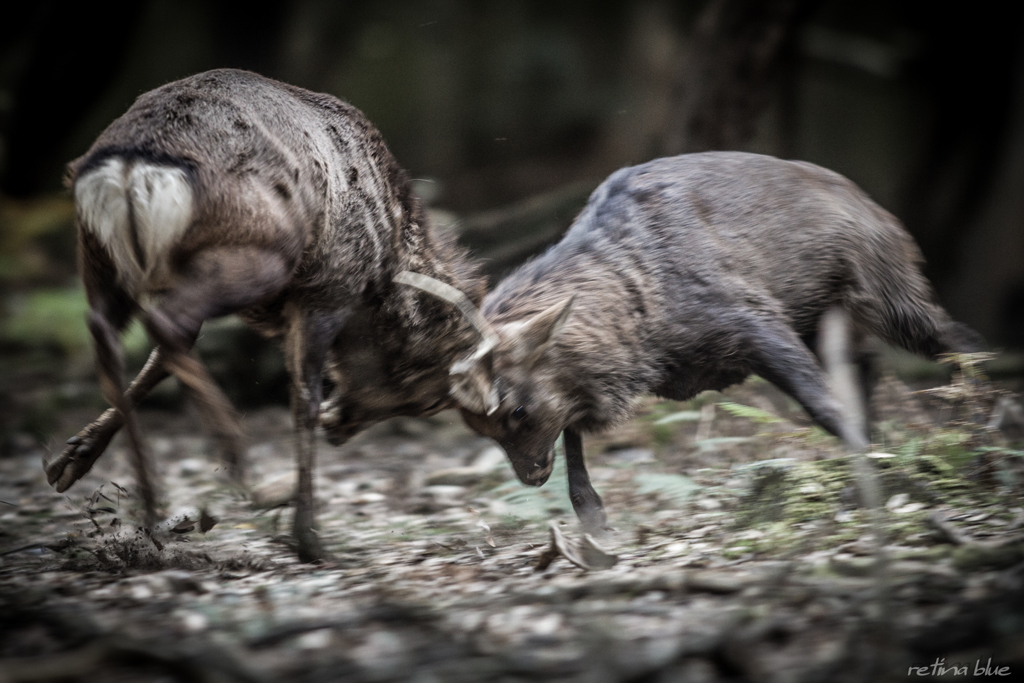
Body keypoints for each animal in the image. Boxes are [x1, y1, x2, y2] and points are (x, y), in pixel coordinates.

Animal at [49, 68, 489, 561]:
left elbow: (157, 366)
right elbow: (302, 398)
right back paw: (238, 466)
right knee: (164, 325)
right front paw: (308, 536)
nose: (339, 425)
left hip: (98, 253)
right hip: (253, 254)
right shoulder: (327, 290)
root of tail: (131, 171)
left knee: (109, 329)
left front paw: (72, 458)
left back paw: (144, 505)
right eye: (430, 398)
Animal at [432, 152, 983, 532]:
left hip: (882, 290)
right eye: (478, 427)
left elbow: (824, 408)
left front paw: (887, 477)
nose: (530, 477)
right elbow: (573, 429)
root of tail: (882, 211)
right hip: (827, 317)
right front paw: (593, 517)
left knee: (959, 338)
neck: (644, 330)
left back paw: (977, 432)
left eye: (516, 410)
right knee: (867, 362)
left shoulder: (752, 319)